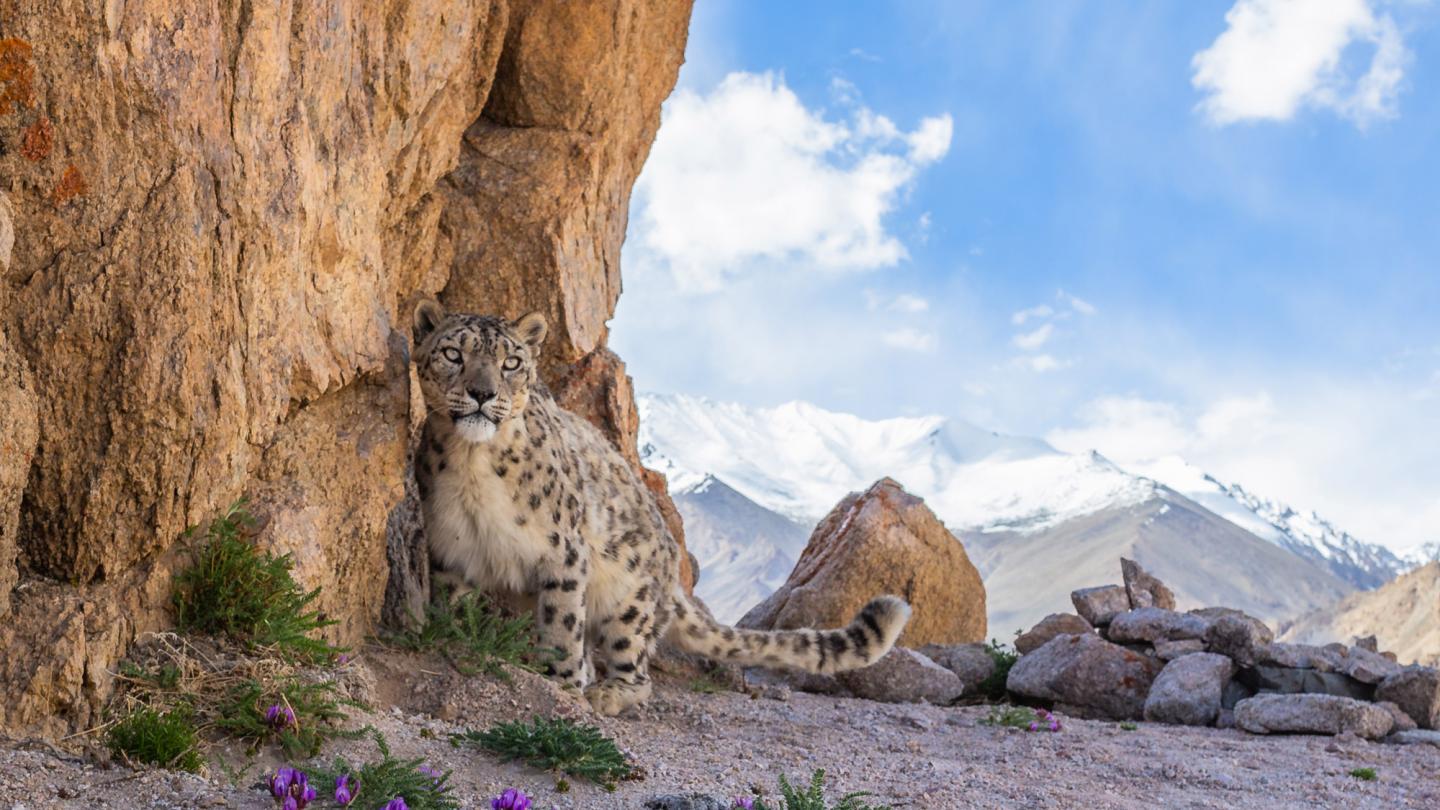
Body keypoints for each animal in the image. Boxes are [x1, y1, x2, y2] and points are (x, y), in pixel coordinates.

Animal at [410, 299, 912, 715]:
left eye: (511, 363)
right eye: (453, 354)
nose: (482, 393)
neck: (473, 463)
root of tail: (671, 566)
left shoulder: (565, 554)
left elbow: (562, 625)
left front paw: (563, 687)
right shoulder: (452, 549)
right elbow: (452, 603)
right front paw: (449, 637)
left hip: (628, 599)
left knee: (635, 668)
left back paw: (608, 693)